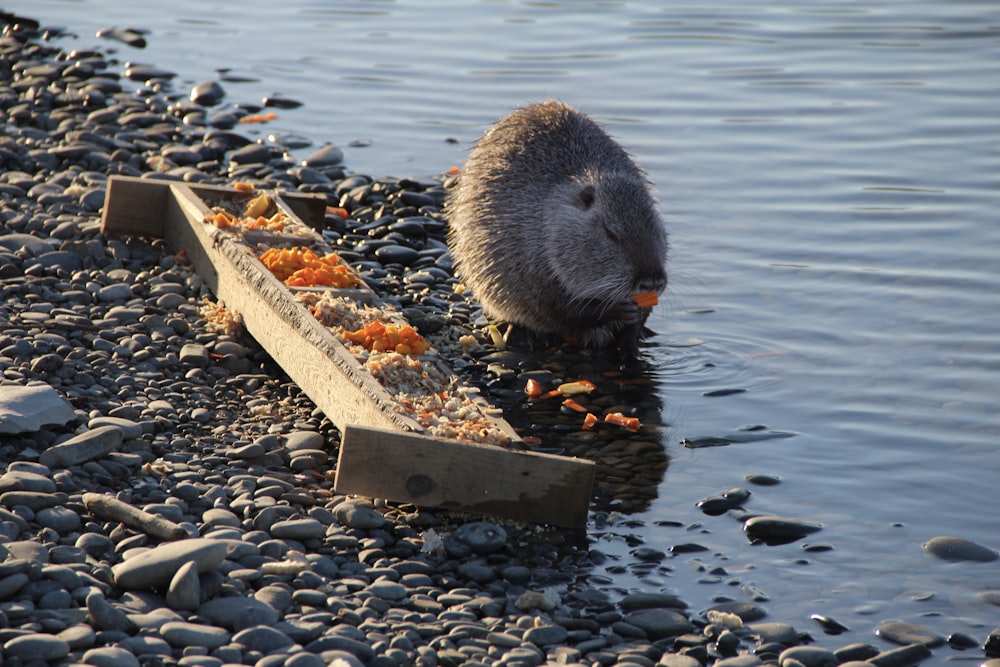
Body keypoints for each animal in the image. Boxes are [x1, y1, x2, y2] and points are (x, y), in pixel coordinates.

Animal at [448, 100, 668, 360]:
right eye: (610, 232)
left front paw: (630, 345)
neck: (549, 210)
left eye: (656, 227)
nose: (651, 281)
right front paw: (618, 311)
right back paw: (515, 333)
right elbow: (561, 309)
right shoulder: (524, 258)